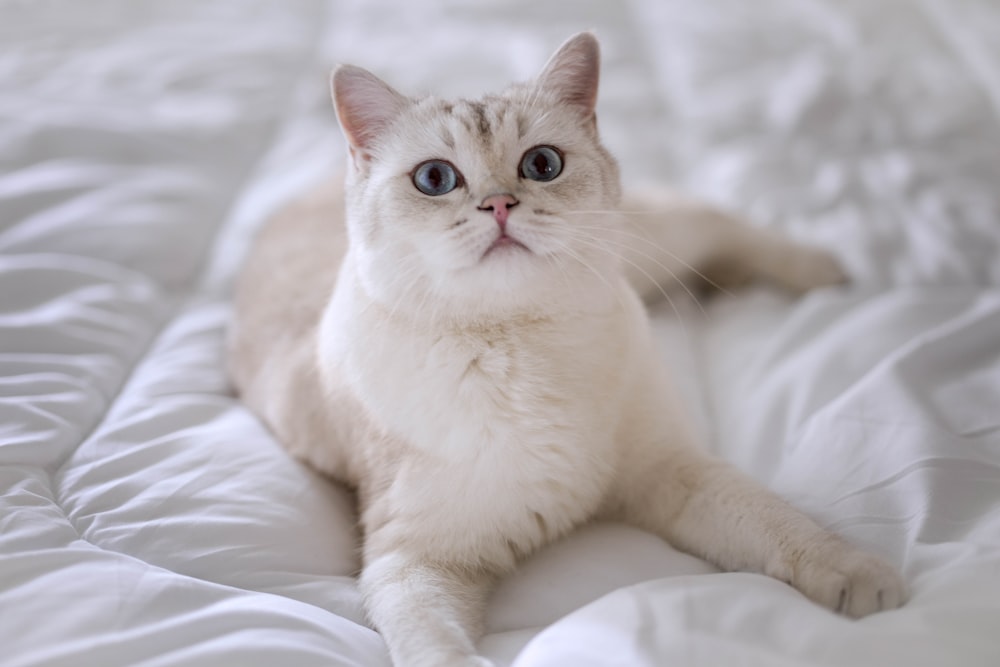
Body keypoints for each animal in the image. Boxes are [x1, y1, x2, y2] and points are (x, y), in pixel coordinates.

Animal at [230, 32, 912, 667]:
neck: (522, 344)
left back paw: (821, 273)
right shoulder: (413, 560)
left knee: (727, 228)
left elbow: (783, 526)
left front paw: (861, 579)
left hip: (658, 244)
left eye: (542, 165)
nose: (499, 204)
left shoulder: (676, 472)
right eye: (435, 179)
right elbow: (440, 648)